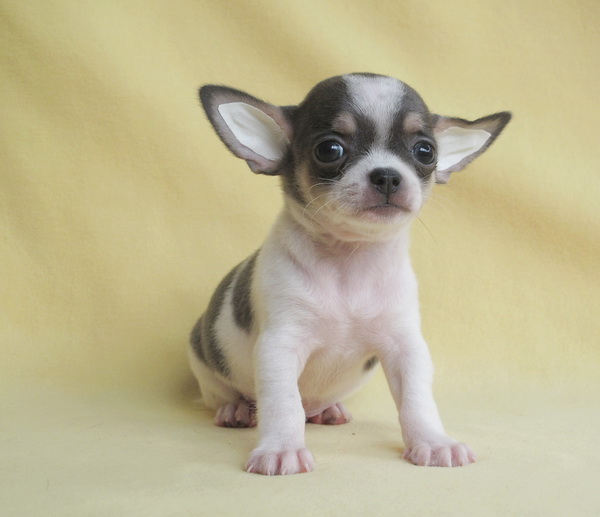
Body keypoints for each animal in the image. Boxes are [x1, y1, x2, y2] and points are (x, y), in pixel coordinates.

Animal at [189, 73, 510, 475]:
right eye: (329, 150)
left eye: (425, 152)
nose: (387, 176)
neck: (350, 261)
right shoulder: (280, 347)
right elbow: (283, 403)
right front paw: (281, 449)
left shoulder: (406, 348)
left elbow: (417, 400)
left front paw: (433, 441)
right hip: (205, 363)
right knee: (228, 396)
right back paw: (235, 410)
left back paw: (328, 410)